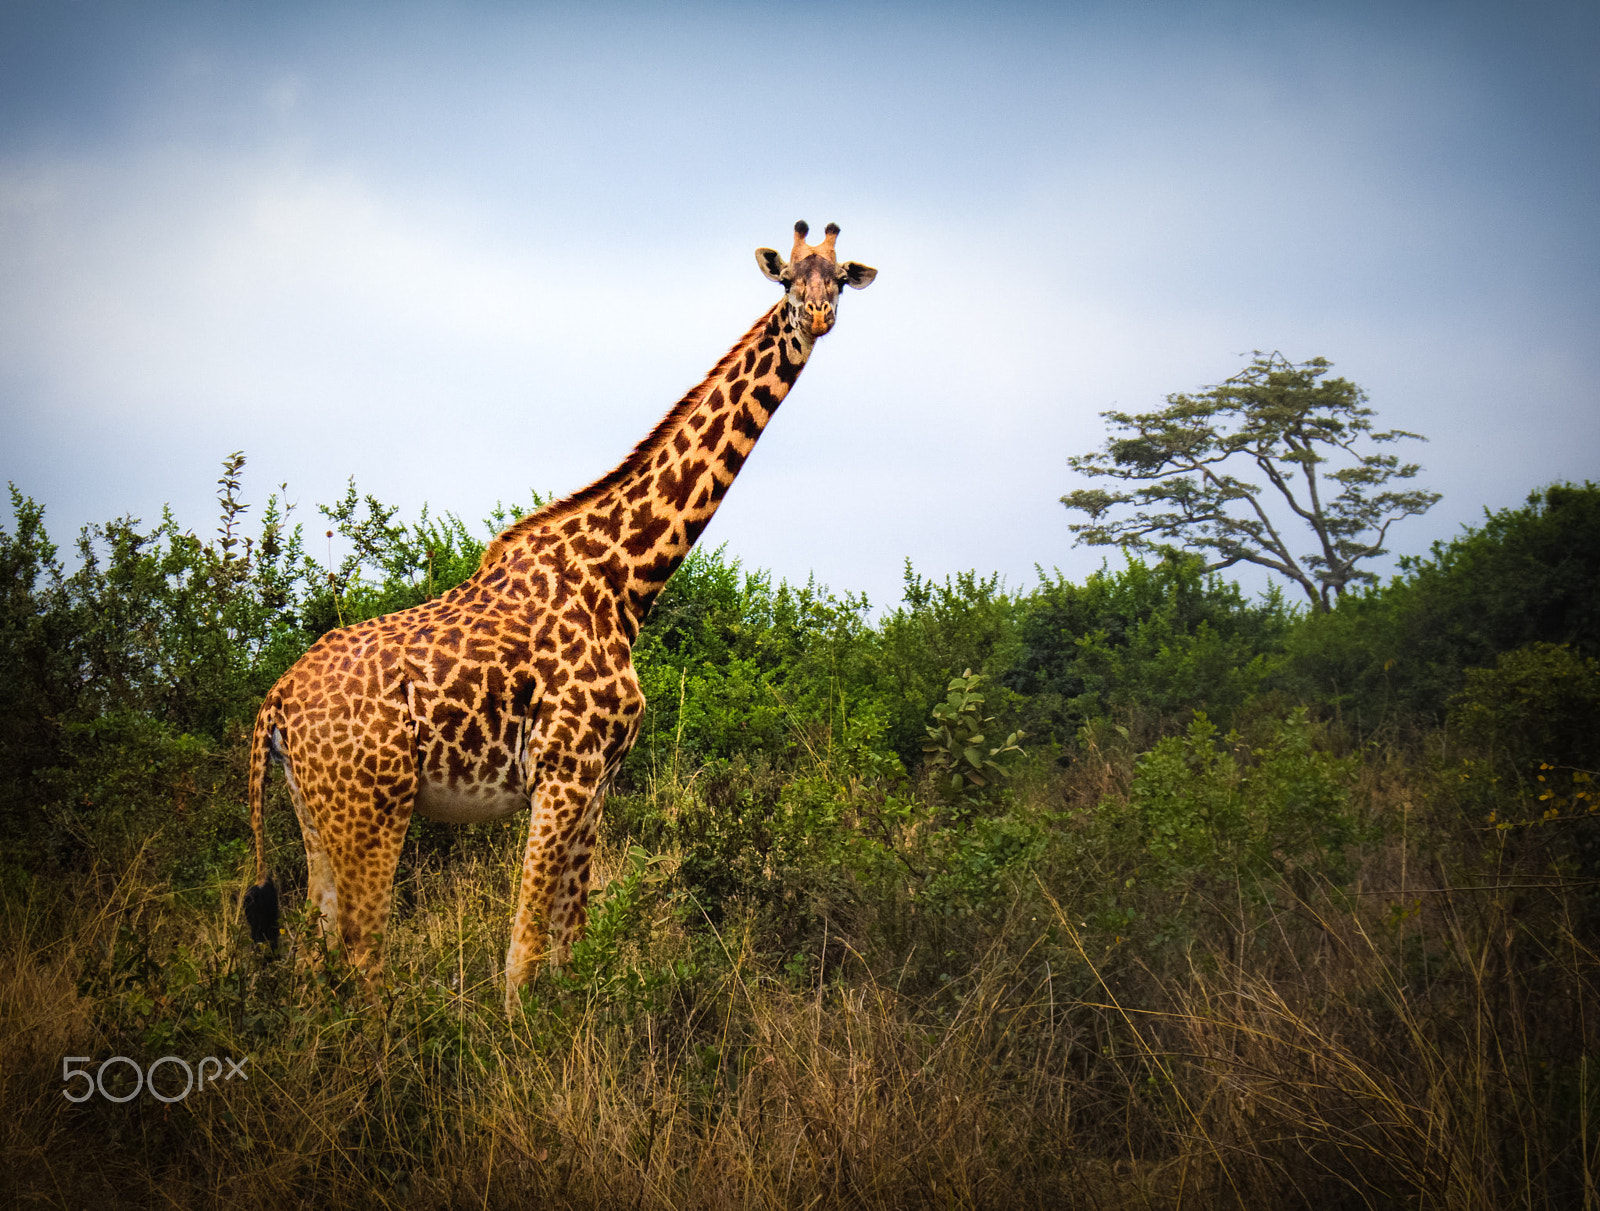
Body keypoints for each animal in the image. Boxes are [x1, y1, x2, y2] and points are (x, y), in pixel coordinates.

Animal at [243, 219, 883, 1011]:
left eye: (840, 280)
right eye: (790, 282)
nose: (817, 319)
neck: (624, 580)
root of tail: (274, 705)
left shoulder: (600, 780)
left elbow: (571, 946)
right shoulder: (563, 771)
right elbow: (523, 955)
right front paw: (516, 1035)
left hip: (316, 814)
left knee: (318, 957)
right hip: (372, 809)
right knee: (362, 958)